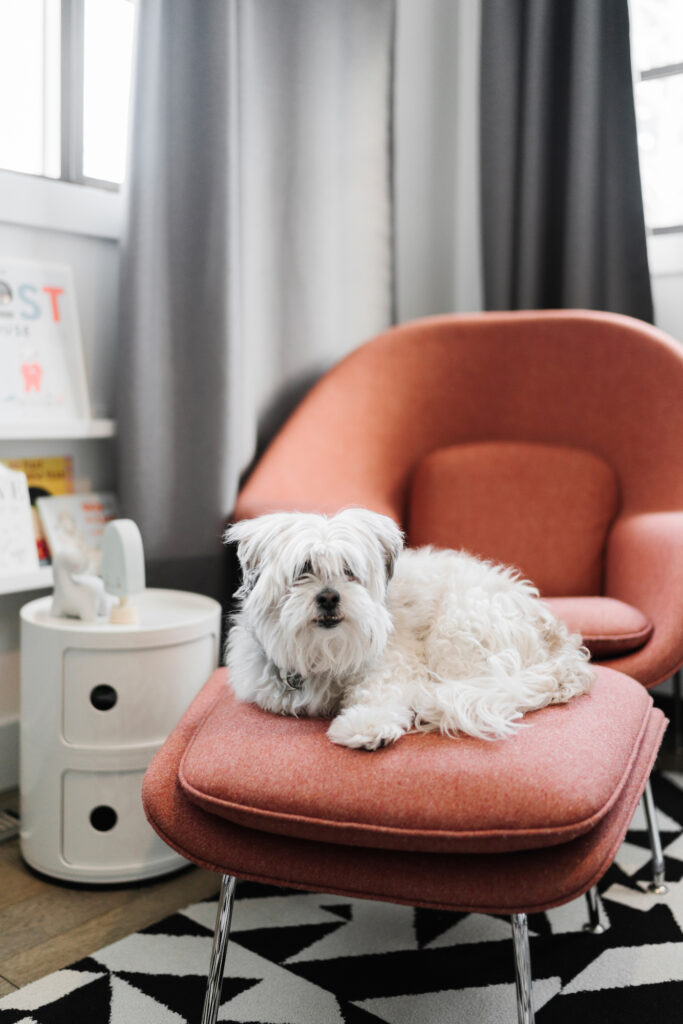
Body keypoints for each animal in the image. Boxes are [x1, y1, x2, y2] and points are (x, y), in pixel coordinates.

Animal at [225, 507, 593, 749]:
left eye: (349, 570)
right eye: (303, 569)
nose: (328, 596)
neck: (323, 654)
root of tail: (559, 641)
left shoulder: (396, 659)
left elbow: (378, 692)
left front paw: (366, 725)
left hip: (457, 628)